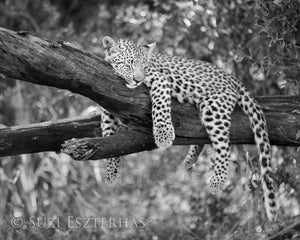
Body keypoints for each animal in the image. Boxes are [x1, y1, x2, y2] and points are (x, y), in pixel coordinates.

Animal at [102, 35, 278, 221]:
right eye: (129, 64)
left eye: (144, 66)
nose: (138, 79)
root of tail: (232, 78)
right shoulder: (107, 107)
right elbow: (109, 139)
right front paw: (111, 172)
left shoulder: (161, 80)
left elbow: (160, 106)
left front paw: (163, 136)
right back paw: (188, 161)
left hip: (214, 108)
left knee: (224, 146)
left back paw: (217, 181)